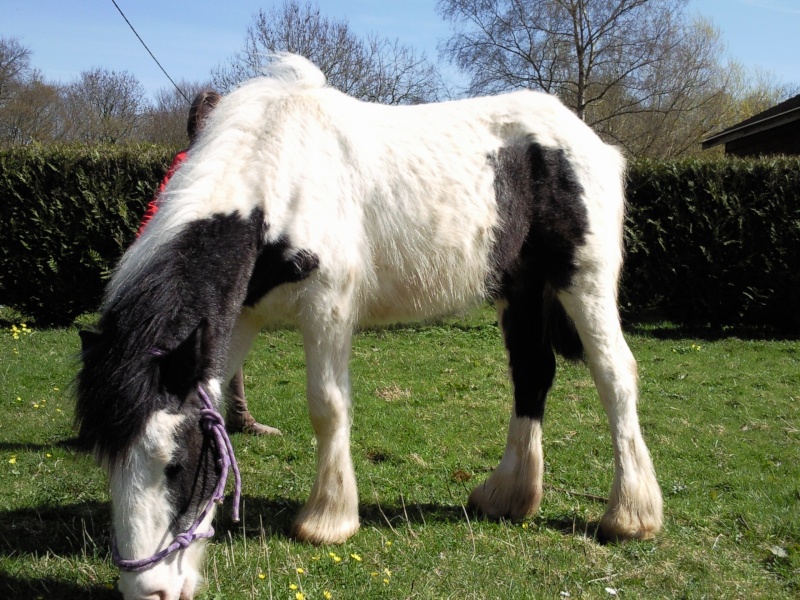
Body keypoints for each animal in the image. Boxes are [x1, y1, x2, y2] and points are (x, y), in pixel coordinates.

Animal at [75, 55, 664, 600]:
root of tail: (588, 141)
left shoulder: (328, 305)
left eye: (175, 464)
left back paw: (630, 515)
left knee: (615, 376)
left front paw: (328, 519)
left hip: (581, 282)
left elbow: (327, 406)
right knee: (532, 375)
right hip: (519, 289)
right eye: (107, 462)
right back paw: (507, 497)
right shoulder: (238, 318)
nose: (149, 591)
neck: (278, 171)